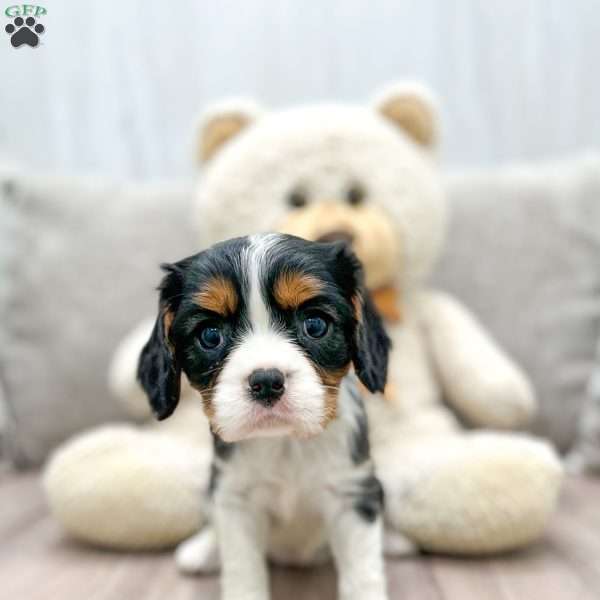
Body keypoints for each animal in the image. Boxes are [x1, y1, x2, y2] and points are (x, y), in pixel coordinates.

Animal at [137, 233, 392, 600]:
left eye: (315, 324)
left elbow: (363, 576)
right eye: (210, 335)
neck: (286, 443)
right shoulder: (235, 501)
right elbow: (242, 571)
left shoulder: (354, 495)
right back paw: (202, 550)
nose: (267, 381)